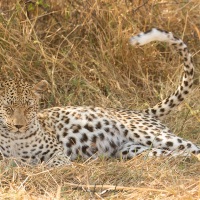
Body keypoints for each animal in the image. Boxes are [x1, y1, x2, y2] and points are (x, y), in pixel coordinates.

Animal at [0, 27, 199, 166]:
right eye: (8, 107)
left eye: (28, 107)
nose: (19, 126)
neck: (16, 139)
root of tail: (140, 112)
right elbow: (11, 161)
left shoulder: (57, 150)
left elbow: (55, 161)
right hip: (133, 150)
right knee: (177, 153)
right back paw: (182, 159)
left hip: (149, 133)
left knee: (193, 146)